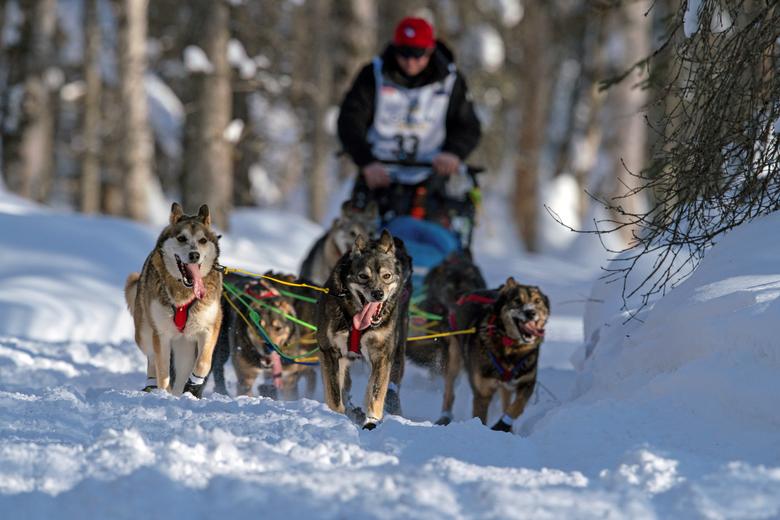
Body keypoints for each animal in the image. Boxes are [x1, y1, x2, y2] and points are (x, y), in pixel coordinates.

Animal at [124, 201, 222, 396]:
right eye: (181, 238)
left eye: (202, 240)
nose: (194, 255)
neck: (184, 293)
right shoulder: (161, 334)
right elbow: (162, 371)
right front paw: (162, 392)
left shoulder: (210, 327)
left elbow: (203, 363)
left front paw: (193, 385)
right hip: (144, 334)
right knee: (152, 359)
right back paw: (153, 386)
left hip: (185, 346)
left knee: (182, 371)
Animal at [316, 230, 414, 428]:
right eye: (363, 276)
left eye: (386, 276)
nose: (378, 293)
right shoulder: (329, 351)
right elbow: (334, 394)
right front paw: (337, 417)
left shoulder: (382, 356)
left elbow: (376, 392)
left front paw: (372, 420)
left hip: (396, 353)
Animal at [438, 278, 548, 432]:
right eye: (517, 300)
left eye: (538, 301)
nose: (531, 312)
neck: (511, 348)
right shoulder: (482, 393)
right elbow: (481, 417)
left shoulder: (527, 383)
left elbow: (516, 407)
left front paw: (502, 425)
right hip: (454, 359)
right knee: (449, 391)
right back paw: (444, 417)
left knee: (506, 403)